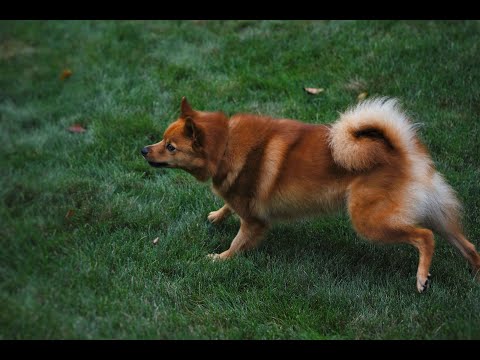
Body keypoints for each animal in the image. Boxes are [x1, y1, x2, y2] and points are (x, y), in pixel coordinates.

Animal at [142, 96, 480, 292]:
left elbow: (238, 243)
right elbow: (228, 207)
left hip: (370, 222)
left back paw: (422, 277)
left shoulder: (254, 221)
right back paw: (475, 274)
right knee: (468, 245)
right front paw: (217, 215)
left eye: (170, 147)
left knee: (425, 237)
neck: (226, 144)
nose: (143, 149)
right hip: (438, 215)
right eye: (162, 139)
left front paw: (220, 259)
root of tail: (403, 150)